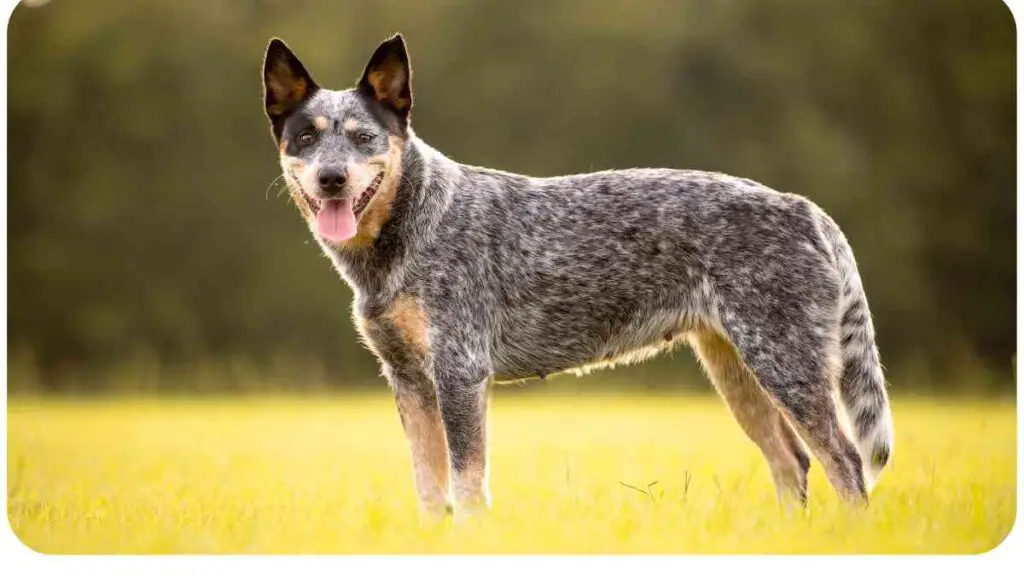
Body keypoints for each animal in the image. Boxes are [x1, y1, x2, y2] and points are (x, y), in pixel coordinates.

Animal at [260, 33, 892, 512]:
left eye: (364, 137)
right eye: (306, 137)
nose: (332, 178)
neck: (413, 228)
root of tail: (804, 208)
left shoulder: (460, 372)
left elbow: (467, 486)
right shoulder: (408, 380)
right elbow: (429, 490)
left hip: (786, 366)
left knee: (844, 460)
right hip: (736, 370)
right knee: (793, 462)